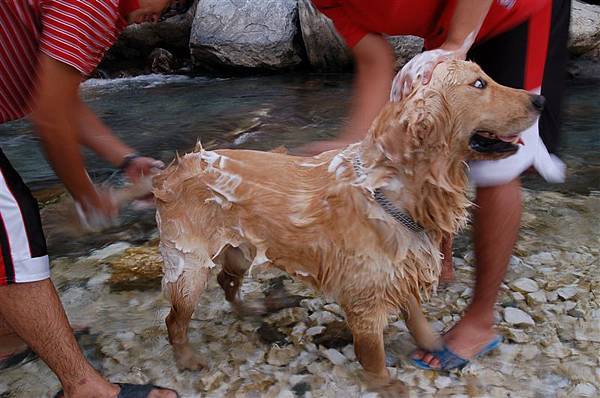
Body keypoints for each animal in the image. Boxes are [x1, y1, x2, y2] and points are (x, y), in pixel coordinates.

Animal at [154, 60, 544, 394]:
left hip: (239, 251)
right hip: (189, 269)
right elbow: (374, 356)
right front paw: (387, 385)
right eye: (479, 84)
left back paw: (252, 309)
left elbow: (417, 318)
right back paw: (187, 358)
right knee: (174, 320)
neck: (392, 189)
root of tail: (175, 168)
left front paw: (436, 344)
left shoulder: (401, 270)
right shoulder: (365, 301)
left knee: (226, 282)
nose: (539, 99)